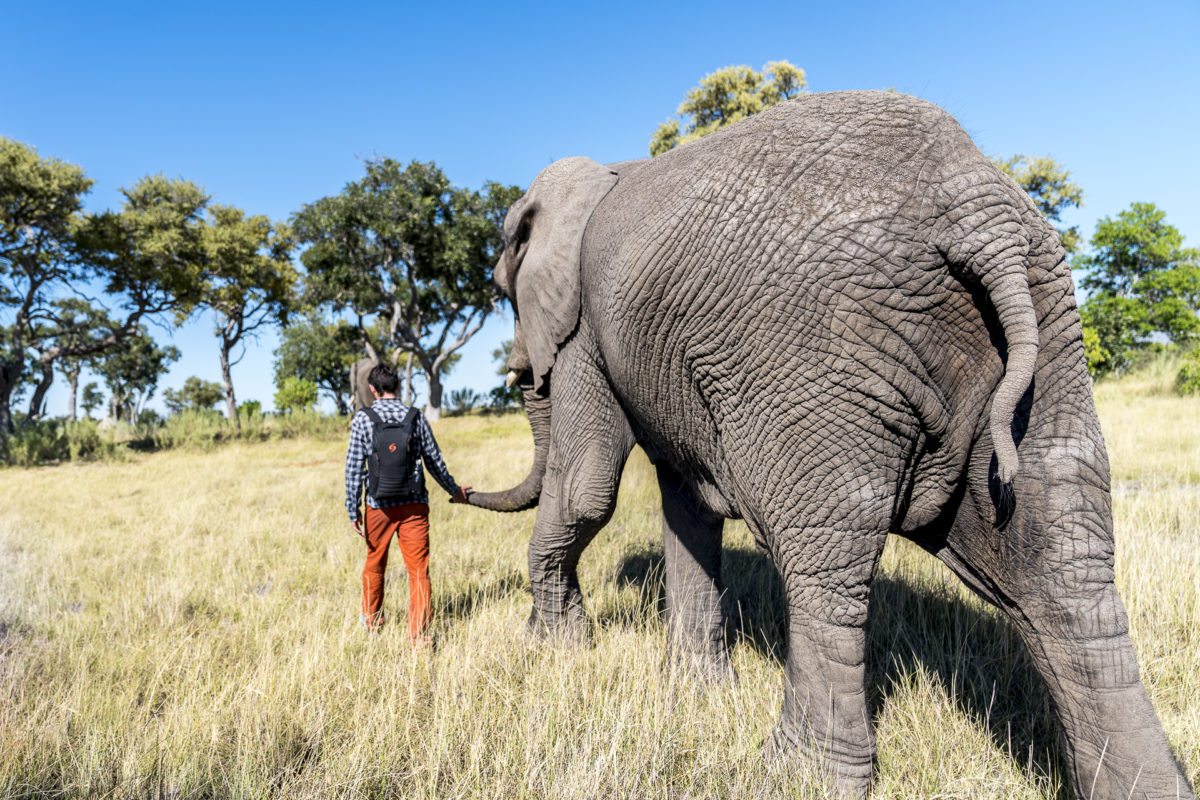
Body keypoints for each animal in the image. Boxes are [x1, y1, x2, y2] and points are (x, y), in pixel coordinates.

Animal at [460, 90, 1190, 796]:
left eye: (502, 290)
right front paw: (697, 692)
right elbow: (685, 504)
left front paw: (549, 653)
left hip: (810, 348)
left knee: (825, 563)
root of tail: (980, 216)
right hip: (1048, 321)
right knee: (1063, 557)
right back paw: (1148, 785)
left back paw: (796, 778)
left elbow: (586, 488)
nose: (459, 488)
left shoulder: (584, 329)